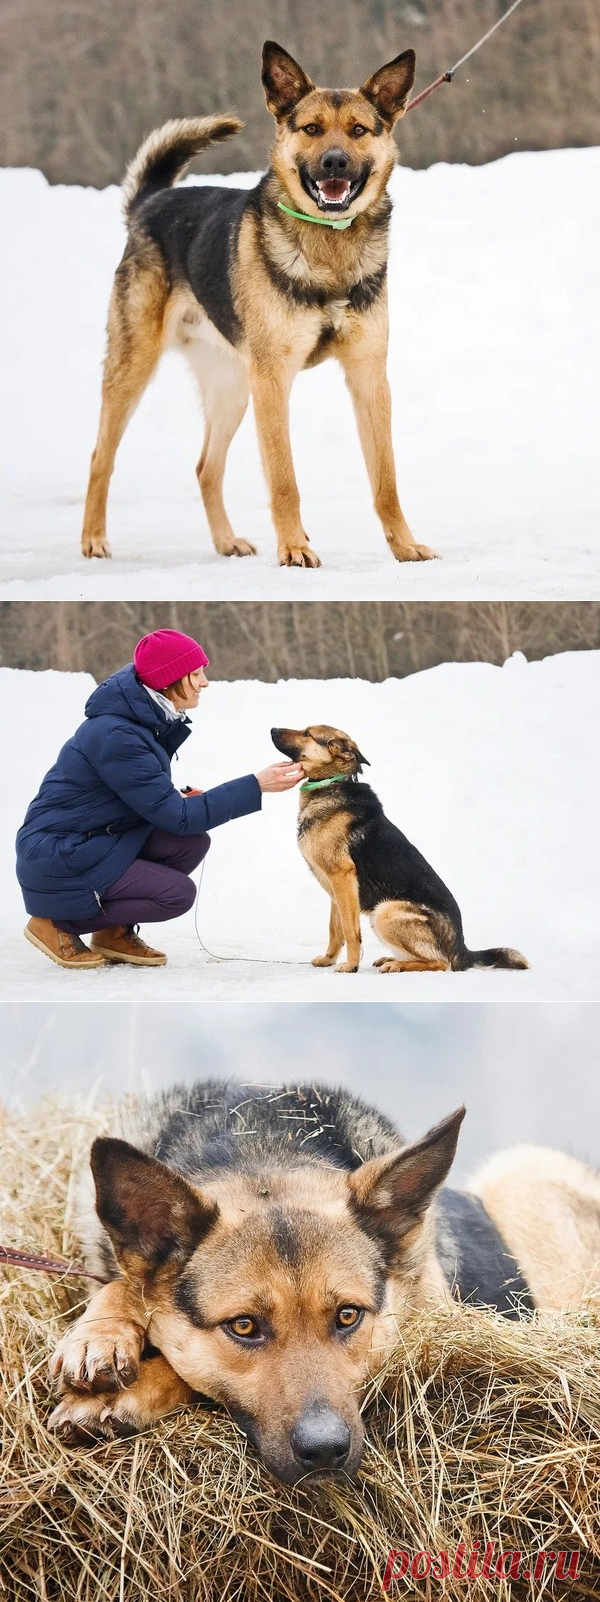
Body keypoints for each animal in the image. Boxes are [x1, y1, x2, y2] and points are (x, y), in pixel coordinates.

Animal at [48, 1082, 600, 1480]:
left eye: (348, 1316)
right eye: (244, 1327)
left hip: (522, 1171)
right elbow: (123, 1284)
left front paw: (125, 1390)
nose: (325, 1452)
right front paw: (101, 1334)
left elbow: (188, 1374)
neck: (261, 1146)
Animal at [81, 40, 438, 570]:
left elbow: (386, 480)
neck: (329, 248)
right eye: (311, 129)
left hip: (231, 388)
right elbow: (284, 479)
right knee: (100, 457)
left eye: (358, 130)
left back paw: (226, 540)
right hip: (136, 367)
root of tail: (151, 203)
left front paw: (404, 545)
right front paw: (294, 548)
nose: (335, 163)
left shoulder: (369, 377)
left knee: (206, 467)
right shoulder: (273, 380)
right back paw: (93, 538)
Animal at [270, 727, 528, 974]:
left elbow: (351, 931)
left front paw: (350, 966)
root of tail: (461, 949)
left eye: (307, 733)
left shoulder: (342, 877)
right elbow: (336, 930)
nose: (272, 729)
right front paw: (328, 959)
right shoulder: (335, 888)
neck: (333, 781)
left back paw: (397, 965)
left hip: (385, 911)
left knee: (440, 963)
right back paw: (393, 959)